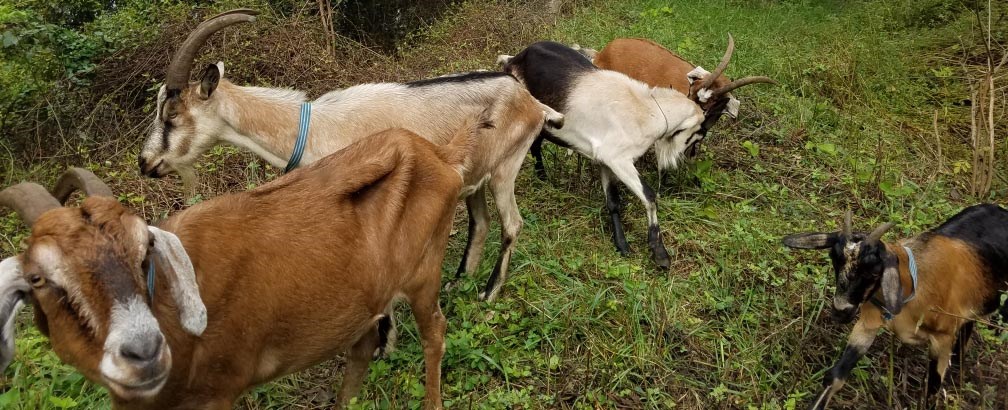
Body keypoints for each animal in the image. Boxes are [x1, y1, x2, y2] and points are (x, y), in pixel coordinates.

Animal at [0, 126, 471, 408]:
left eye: (143, 250)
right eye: (39, 279)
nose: (144, 353)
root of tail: (438, 153)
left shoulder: (219, 390)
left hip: (424, 272)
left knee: (435, 332)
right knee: (362, 347)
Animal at [140, 8, 568, 304]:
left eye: (171, 115)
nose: (146, 163)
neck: (313, 129)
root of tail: (530, 102)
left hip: (506, 167)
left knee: (512, 224)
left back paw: (488, 293)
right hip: (473, 177)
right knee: (480, 223)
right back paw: (457, 282)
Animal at [497, 41, 705, 269]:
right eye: (699, 132)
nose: (686, 160)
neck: (646, 110)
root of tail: (515, 57)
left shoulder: (605, 160)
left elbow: (613, 201)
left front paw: (622, 245)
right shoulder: (619, 159)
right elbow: (649, 196)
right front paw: (659, 253)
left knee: (536, 145)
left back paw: (542, 177)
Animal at [782, 205, 1008, 410]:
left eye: (874, 272)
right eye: (834, 260)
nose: (840, 311)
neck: (914, 285)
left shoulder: (942, 340)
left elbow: (931, 392)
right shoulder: (867, 324)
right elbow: (835, 376)